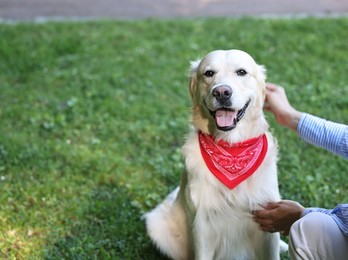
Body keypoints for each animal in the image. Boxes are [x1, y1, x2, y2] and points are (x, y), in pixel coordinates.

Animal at [145, 49, 286, 260]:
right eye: (209, 73)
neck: (231, 148)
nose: (221, 92)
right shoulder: (203, 227)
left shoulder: (266, 220)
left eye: (241, 72)